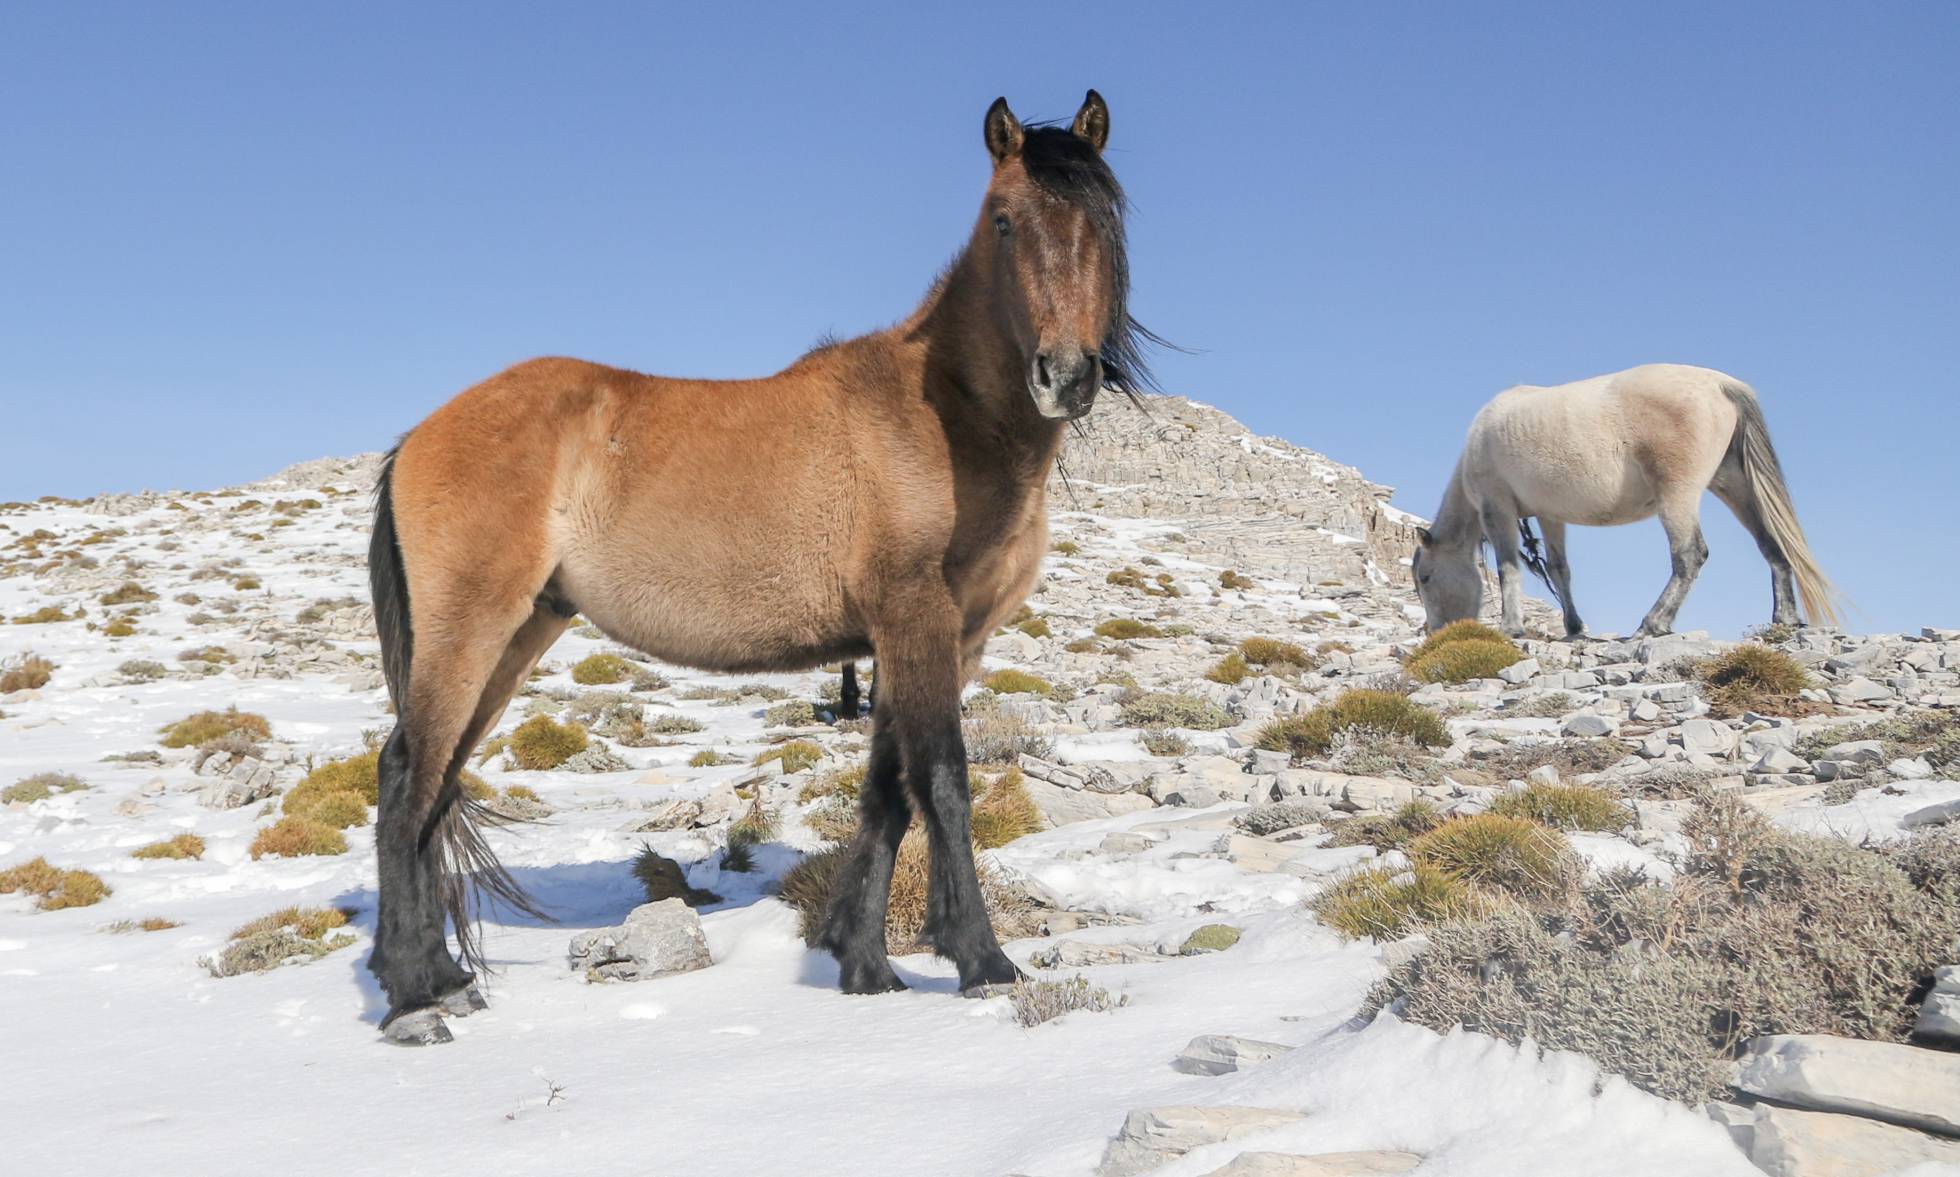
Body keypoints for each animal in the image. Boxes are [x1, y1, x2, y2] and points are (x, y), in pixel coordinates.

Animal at [364, 91, 1153, 1044]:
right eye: (1004, 219)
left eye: (1105, 219)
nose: (1065, 375)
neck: (941, 412)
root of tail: (420, 434)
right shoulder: (916, 619)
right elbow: (942, 780)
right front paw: (982, 959)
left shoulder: (936, 638)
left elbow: (886, 791)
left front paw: (864, 964)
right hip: (472, 629)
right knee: (407, 776)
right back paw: (414, 998)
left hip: (519, 634)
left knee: (437, 784)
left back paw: (445, 978)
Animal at [1410, 364, 1840, 639]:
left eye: (1425, 578)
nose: (1436, 632)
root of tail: (1721, 384)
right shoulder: (1551, 517)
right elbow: (1560, 569)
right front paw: (1574, 629)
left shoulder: (1496, 508)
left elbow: (1508, 569)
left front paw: (1511, 628)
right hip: (1735, 487)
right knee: (1771, 544)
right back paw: (1784, 618)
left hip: (1678, 495)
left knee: (1689, 555)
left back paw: (1653, 624)